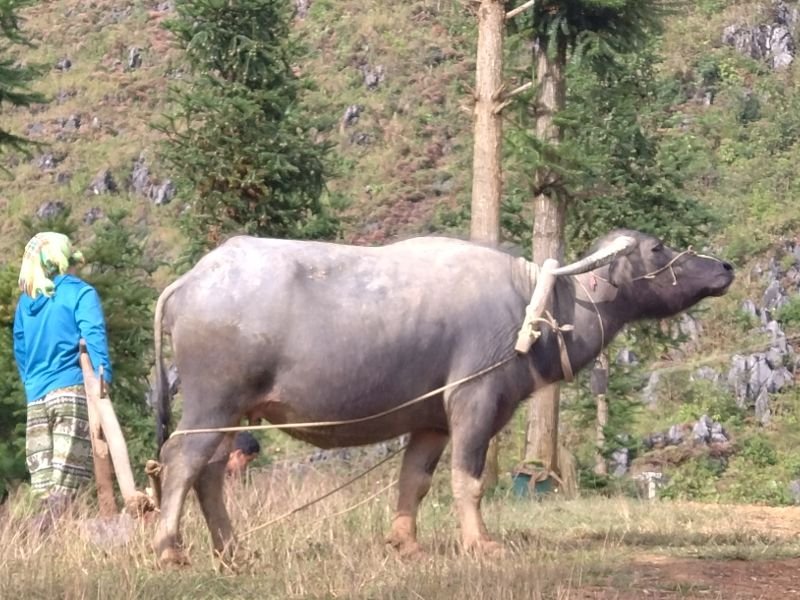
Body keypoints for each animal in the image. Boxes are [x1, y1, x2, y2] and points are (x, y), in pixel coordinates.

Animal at [152, 229, 734, 564]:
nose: (725, 267)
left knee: (208, 472)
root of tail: (192, 280)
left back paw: (232, 551)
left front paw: (405, 542)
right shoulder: (475, 401)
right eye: (657, 248)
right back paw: (170, 549)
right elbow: (468, 481)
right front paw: (481, 544)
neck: (539, 309)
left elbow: (415, 480)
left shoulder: (430, 421)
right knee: (180, 461)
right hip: (213, 400)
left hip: (232, 414)